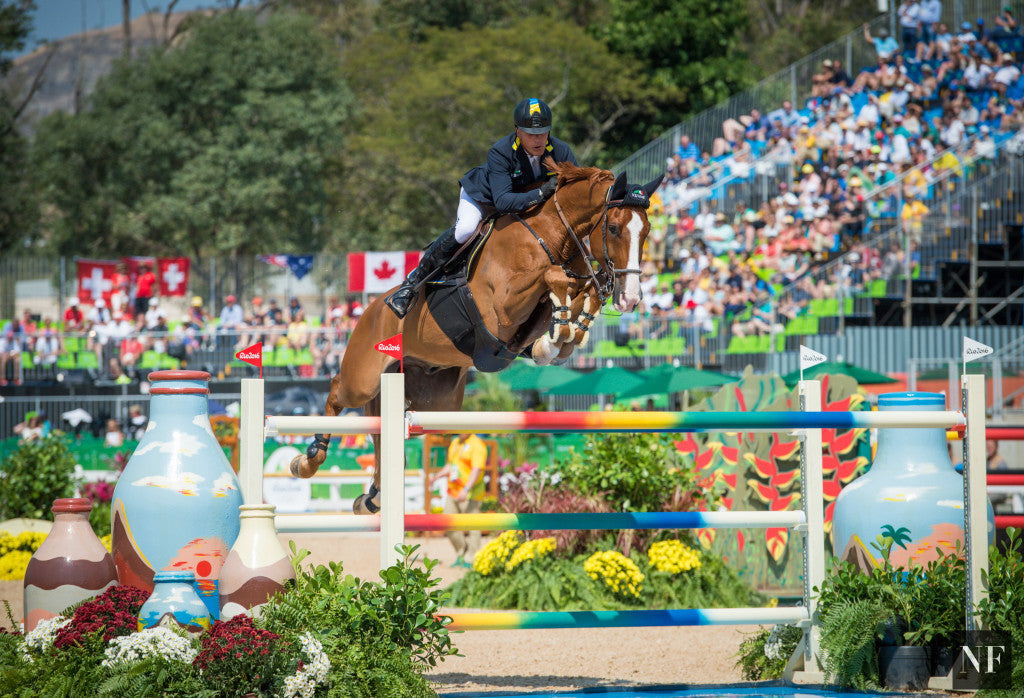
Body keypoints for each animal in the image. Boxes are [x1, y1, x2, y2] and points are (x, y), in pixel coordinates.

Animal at [290, 162, 663, 511]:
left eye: (646, 231)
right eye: (613, 228)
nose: (630, 298)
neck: (549, 236)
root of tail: (368, 311)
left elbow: (576, 296)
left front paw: (569, 330)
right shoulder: (502, 309)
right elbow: (553, 276)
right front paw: (565, 324)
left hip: (435, 402)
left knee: (383, 428)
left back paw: (373, 496)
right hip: (364, 378)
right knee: (336, 390)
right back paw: (308, 460)